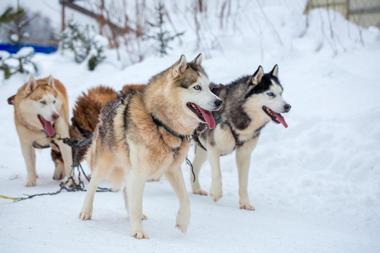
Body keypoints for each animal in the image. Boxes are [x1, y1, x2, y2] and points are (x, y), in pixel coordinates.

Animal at [80, 54, 223, 238]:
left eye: (209, 87)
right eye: (197, 87)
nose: (219, 102)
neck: (159, 123)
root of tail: (104, 109)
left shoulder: (172, 169)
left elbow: (185, 199)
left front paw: (182, 222)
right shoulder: (139, 172)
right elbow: (136, 204)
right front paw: (138, 232)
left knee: (127, 191)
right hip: (105, 166)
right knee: (92, 187)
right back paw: (86, 212)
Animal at [190, 65, 290, 210]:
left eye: (281, 93)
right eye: (270, 94)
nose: (288, 106)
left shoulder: (244, 154)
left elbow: (244, 183)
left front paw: (245, 203)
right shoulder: (213, 148)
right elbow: (217, 173)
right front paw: (216, 193)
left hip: (202, 149)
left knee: (194, 166)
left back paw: (196, 189)